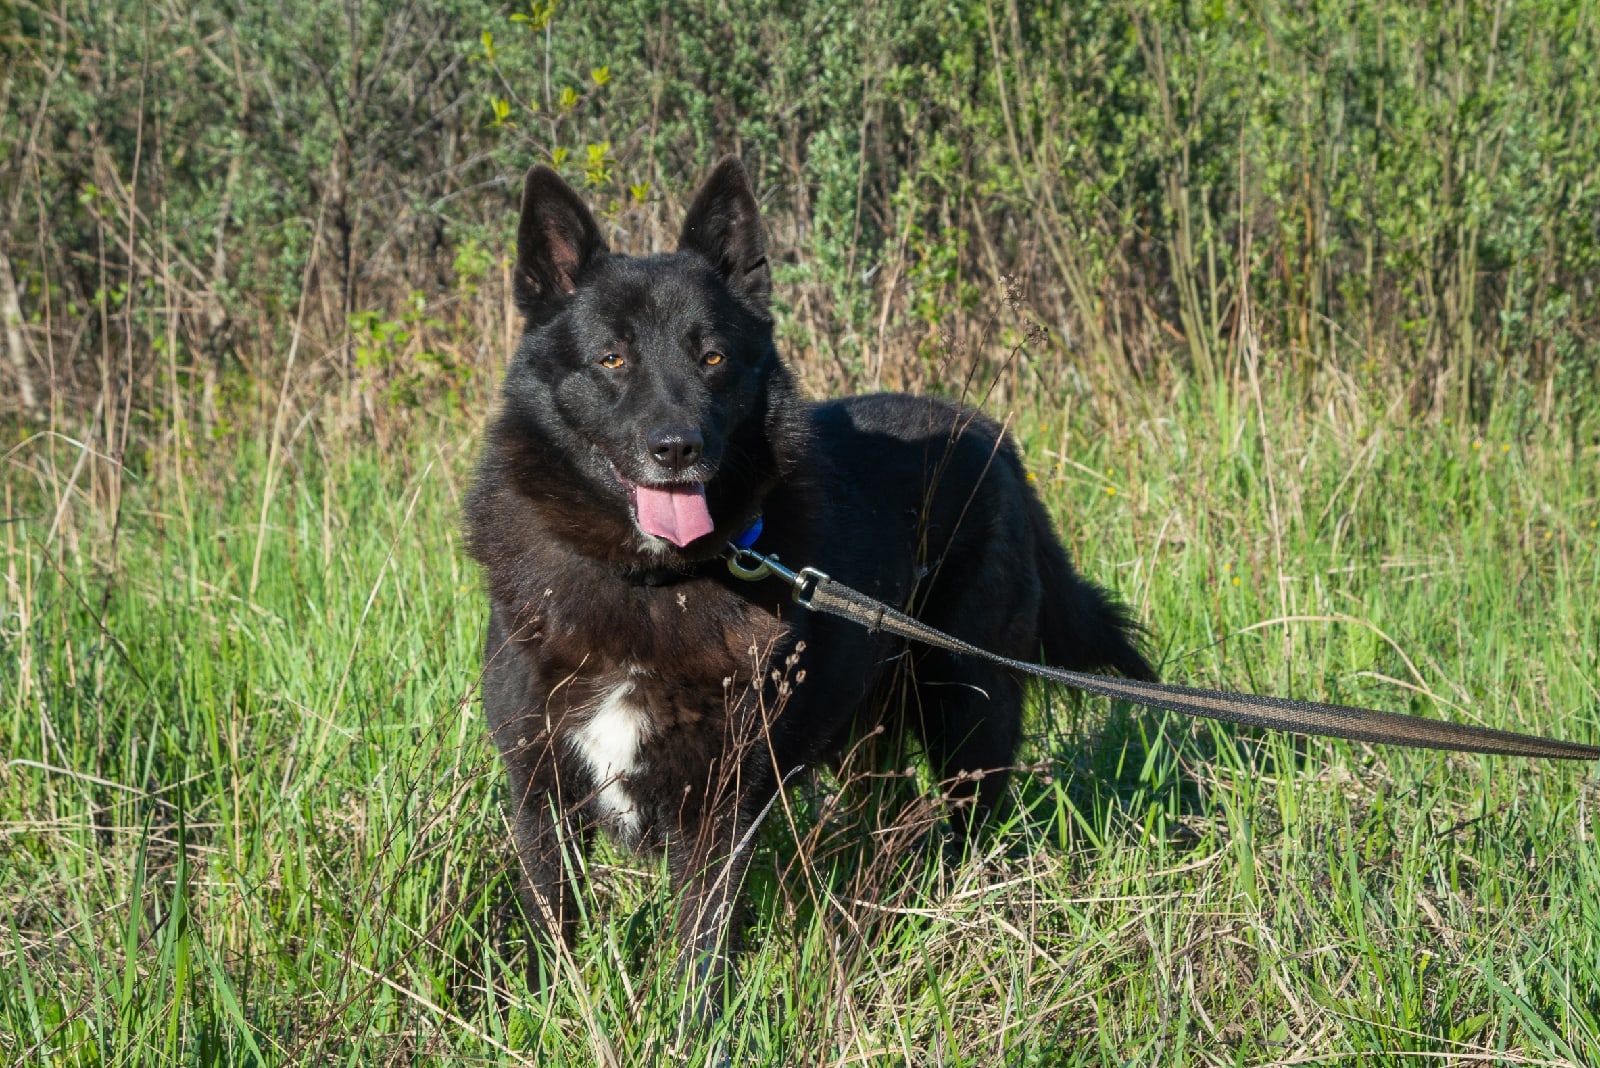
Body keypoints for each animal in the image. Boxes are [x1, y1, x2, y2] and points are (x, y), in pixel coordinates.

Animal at [464, 156, 1152, 1004]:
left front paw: (692, 1024)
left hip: (968, 709)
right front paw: (549, 1008)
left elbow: (699, 947)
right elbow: (553, 924)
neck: (653, 581)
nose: (677, 448)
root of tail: (994, 439)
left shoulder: (722, 805)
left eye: (714, 358)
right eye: (612, 359)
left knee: (970, 818)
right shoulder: (541, 792)